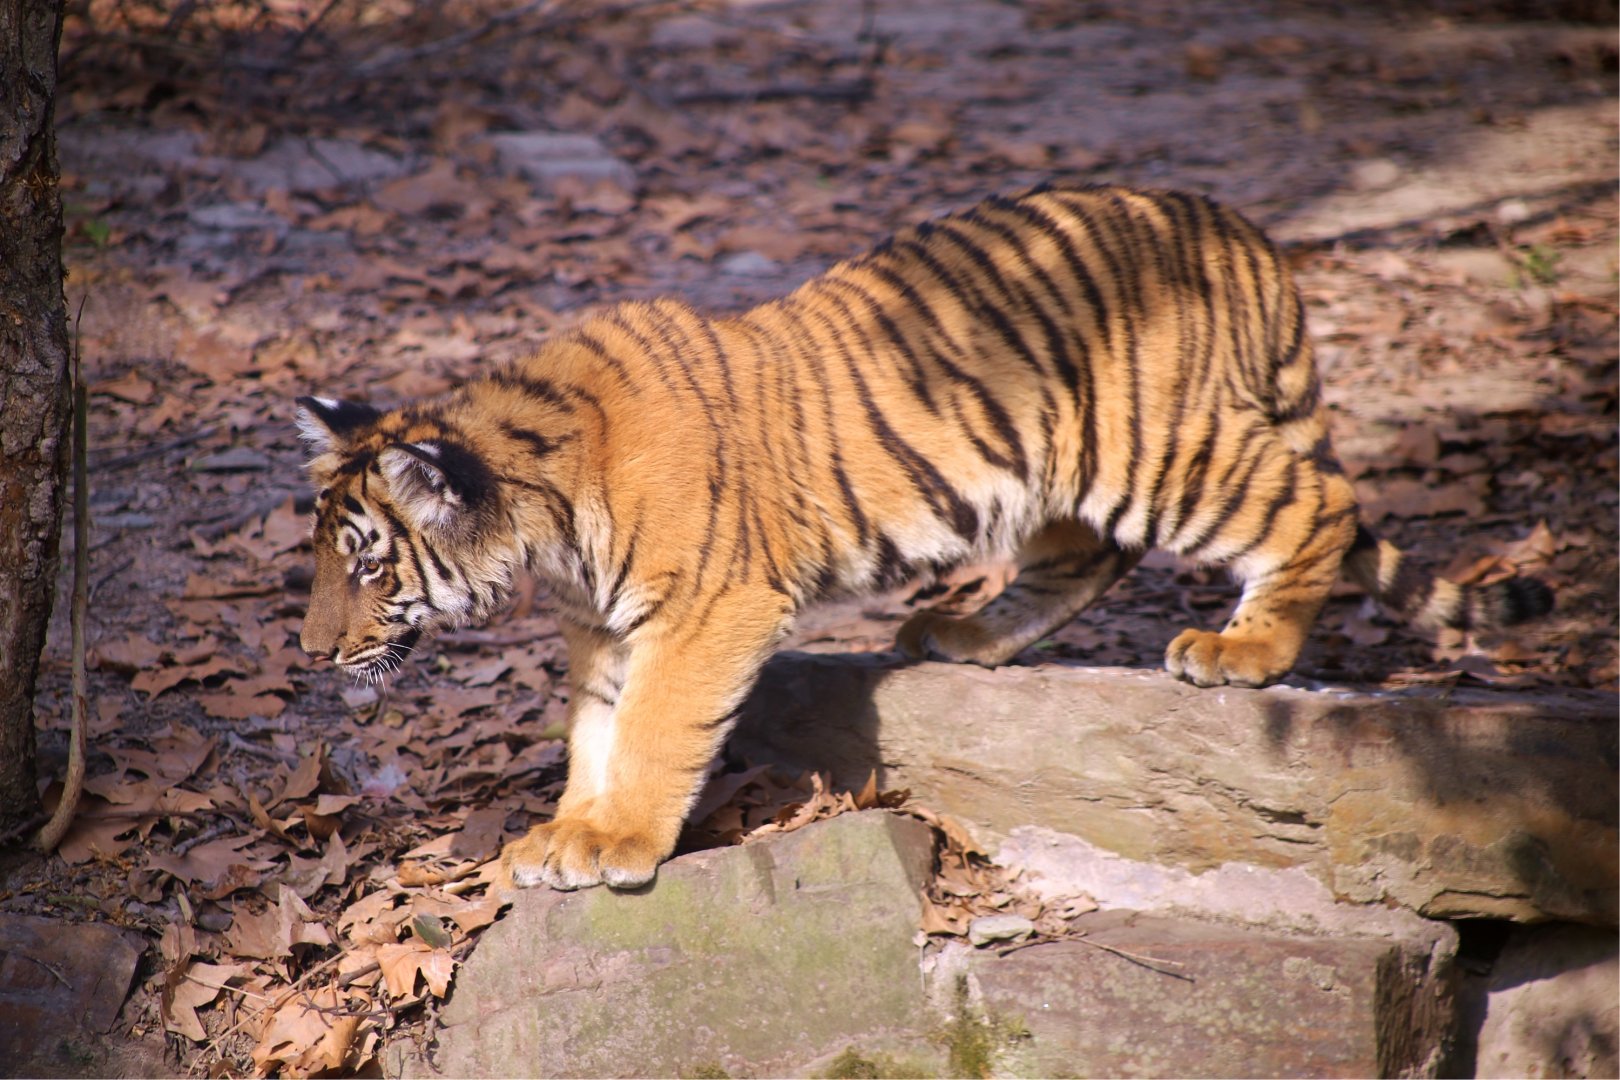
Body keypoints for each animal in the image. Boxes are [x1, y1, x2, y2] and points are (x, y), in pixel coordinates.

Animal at [294, 182, 1552, 892]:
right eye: (324, 556)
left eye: (366, 561)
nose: (309, 651)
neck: (547, 530)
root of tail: (1243, 230)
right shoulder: (606, 629)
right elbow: (595, 735)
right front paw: (566, 833)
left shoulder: (703, 612)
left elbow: (651, 733)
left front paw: (617, 846)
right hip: (1063, 466)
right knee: (1085, 557)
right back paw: (963, 635)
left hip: (1157, 449)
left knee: (1313, 506)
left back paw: (1244, 650)